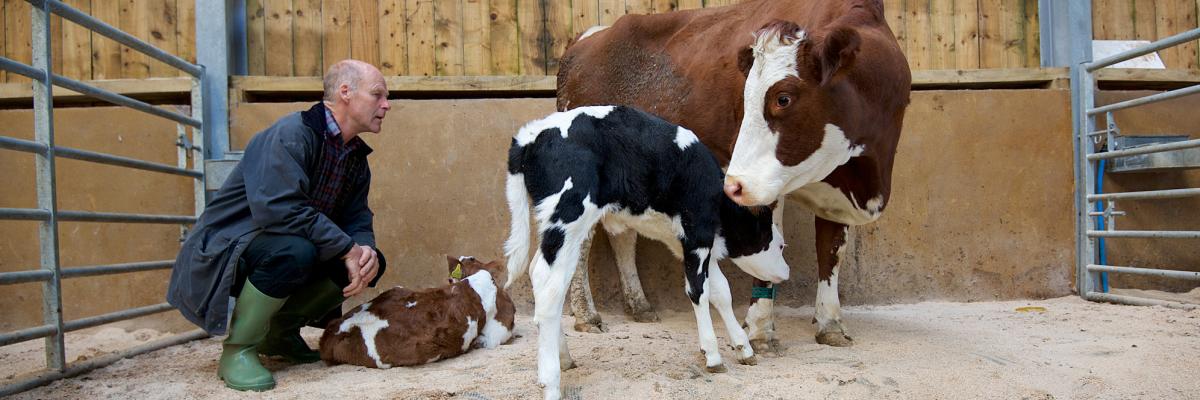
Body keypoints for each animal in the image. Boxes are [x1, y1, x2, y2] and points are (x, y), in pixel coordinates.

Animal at [503, 105, 789, 400]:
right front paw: (712, 354)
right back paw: (551, 381)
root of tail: (530, 135)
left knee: (539, 274)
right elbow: (699, 291)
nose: (786, 272)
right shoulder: (697, 232)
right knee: (549, 285)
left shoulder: (687, 241)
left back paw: (564, 357)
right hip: (569, 217)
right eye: (779, 245)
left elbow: (721, 290)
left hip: (556, 228)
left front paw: (743, 348)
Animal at [555, 0, 911, 350]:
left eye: (783, 98)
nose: (730, 185)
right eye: (745, 97)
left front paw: (831, 323)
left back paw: (639, 305)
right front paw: (760, 330)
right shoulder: (761, 185)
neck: (864, 177)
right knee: (583, 239)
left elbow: (831, 252)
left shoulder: (835, 188)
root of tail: (587, 37)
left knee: (623, 235)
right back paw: (587, 314)